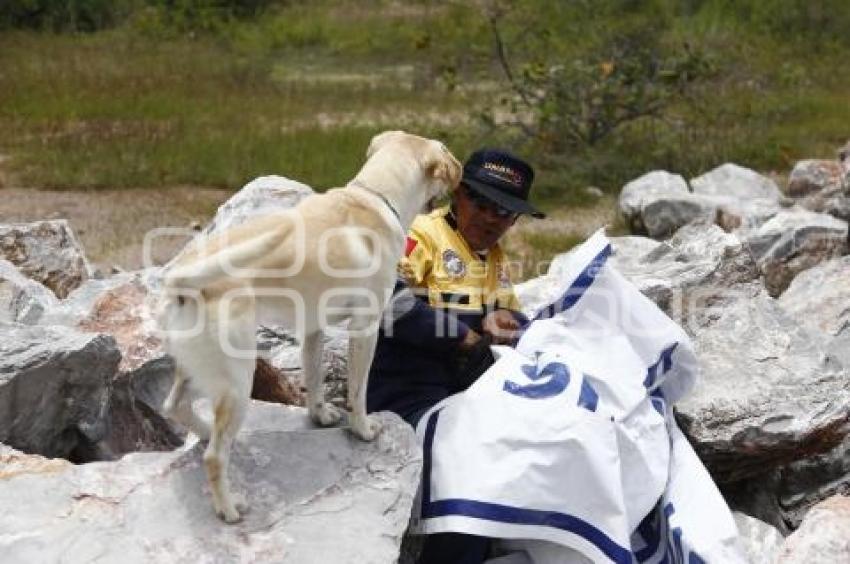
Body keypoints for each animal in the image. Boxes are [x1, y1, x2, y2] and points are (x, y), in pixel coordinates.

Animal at [156, 131, 460, 520]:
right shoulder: (366, 329)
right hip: (238, 380)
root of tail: (180, 281)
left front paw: (320, 416)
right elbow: (358, 392)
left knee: (174, 407)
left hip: (202, 372)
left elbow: (314, 379)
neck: (375, 196)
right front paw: (362, 429)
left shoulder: (314, 330)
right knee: (213, 456)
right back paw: (229, 508)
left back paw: (206, 431)